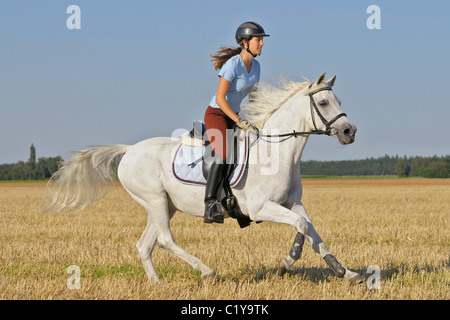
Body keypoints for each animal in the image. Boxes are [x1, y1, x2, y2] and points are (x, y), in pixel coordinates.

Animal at [44, 73, 364, 284]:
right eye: (323, 102)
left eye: (337, 100)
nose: (350, 132)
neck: (276, 151)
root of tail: (129, 150)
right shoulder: (261, 208)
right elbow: (301, 227)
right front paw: (287, 261)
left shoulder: (293, 203)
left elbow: (312, 231)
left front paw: (345, 272)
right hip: (154, 199)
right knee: (165, 239)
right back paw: (207, 272)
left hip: (164, 205)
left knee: (145, 244)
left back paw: (156, 283)